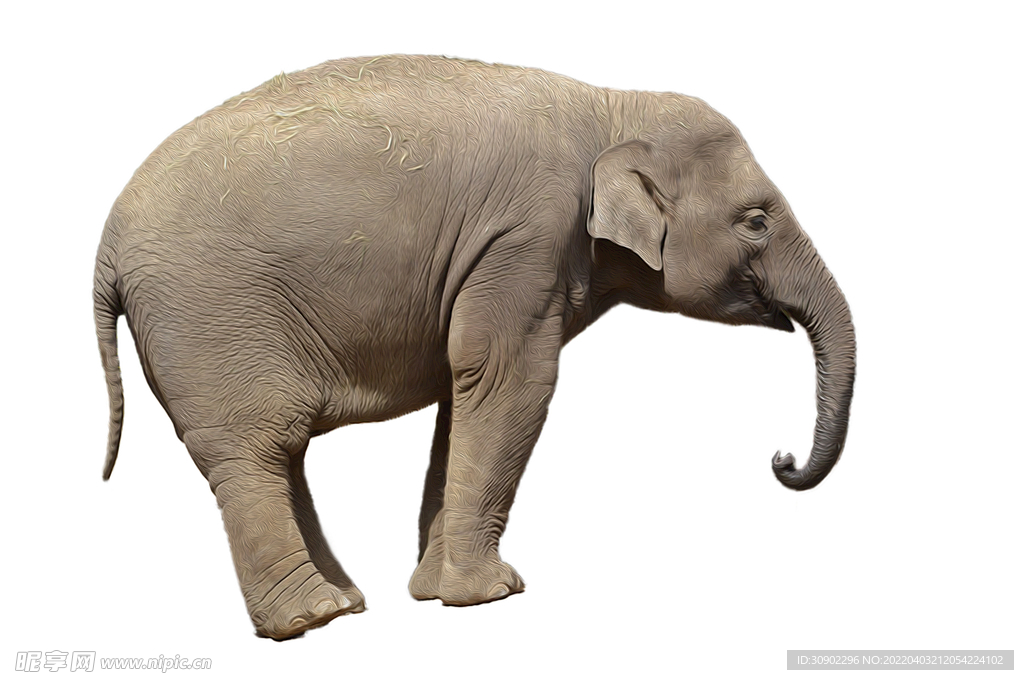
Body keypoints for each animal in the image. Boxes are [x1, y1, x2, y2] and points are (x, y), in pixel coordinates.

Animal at [93, 55, 855, 640]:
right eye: (755, 221)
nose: (781, 459)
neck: (612, 106)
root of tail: (106, 248)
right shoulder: (528, 237)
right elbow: (512, 380)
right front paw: (491, 595)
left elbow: (465, 395)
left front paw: (436, 592)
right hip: (208, 318)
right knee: (254, 447)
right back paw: (310, 621)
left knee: (279, 452)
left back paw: (344, 603)